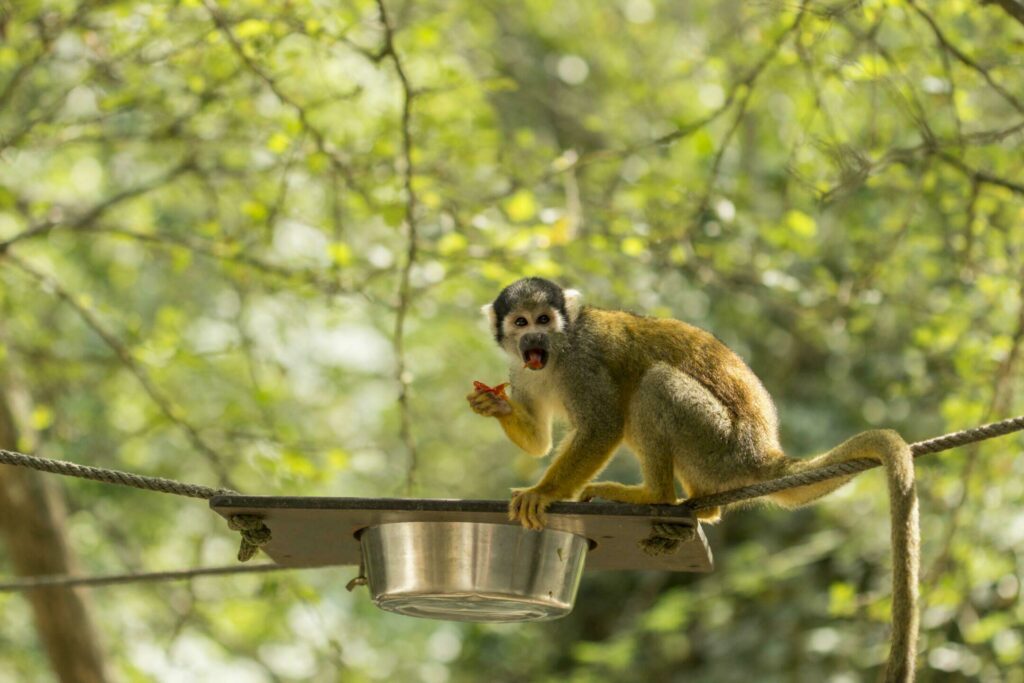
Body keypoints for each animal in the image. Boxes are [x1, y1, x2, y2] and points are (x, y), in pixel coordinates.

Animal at [468, 278, 925, 683]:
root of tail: (764, 455)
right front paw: (493, 404)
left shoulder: (584, 366)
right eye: (522, 322)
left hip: (718, 446)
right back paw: (702, 507)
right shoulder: (521, 369)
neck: (559, 352)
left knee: (653, 384)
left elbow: (602, 426)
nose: (534, 338)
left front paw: (543, 493)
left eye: (545, 319)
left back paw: (654, 495)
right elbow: (540, 443)